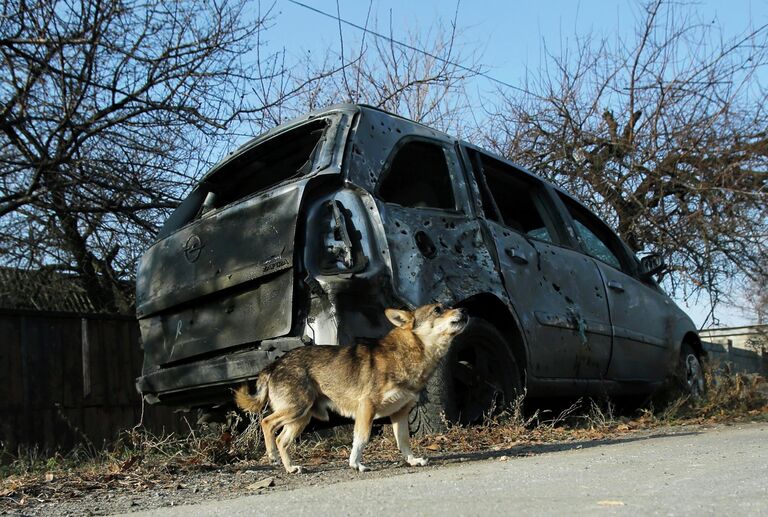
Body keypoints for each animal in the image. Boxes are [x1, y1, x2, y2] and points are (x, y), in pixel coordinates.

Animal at [232, 302, 468, 472]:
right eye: (438, 310)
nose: (465, 310)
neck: (408, 354)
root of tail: (274, 365)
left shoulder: (400, 414)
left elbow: (404, 442)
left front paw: (412, 461)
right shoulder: (367, 408)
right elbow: (361, 439)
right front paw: (356, 464)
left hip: (301, 418)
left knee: (282, 439)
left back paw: (290, 468)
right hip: (296, 409)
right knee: (266, 422)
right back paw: (271, 454)